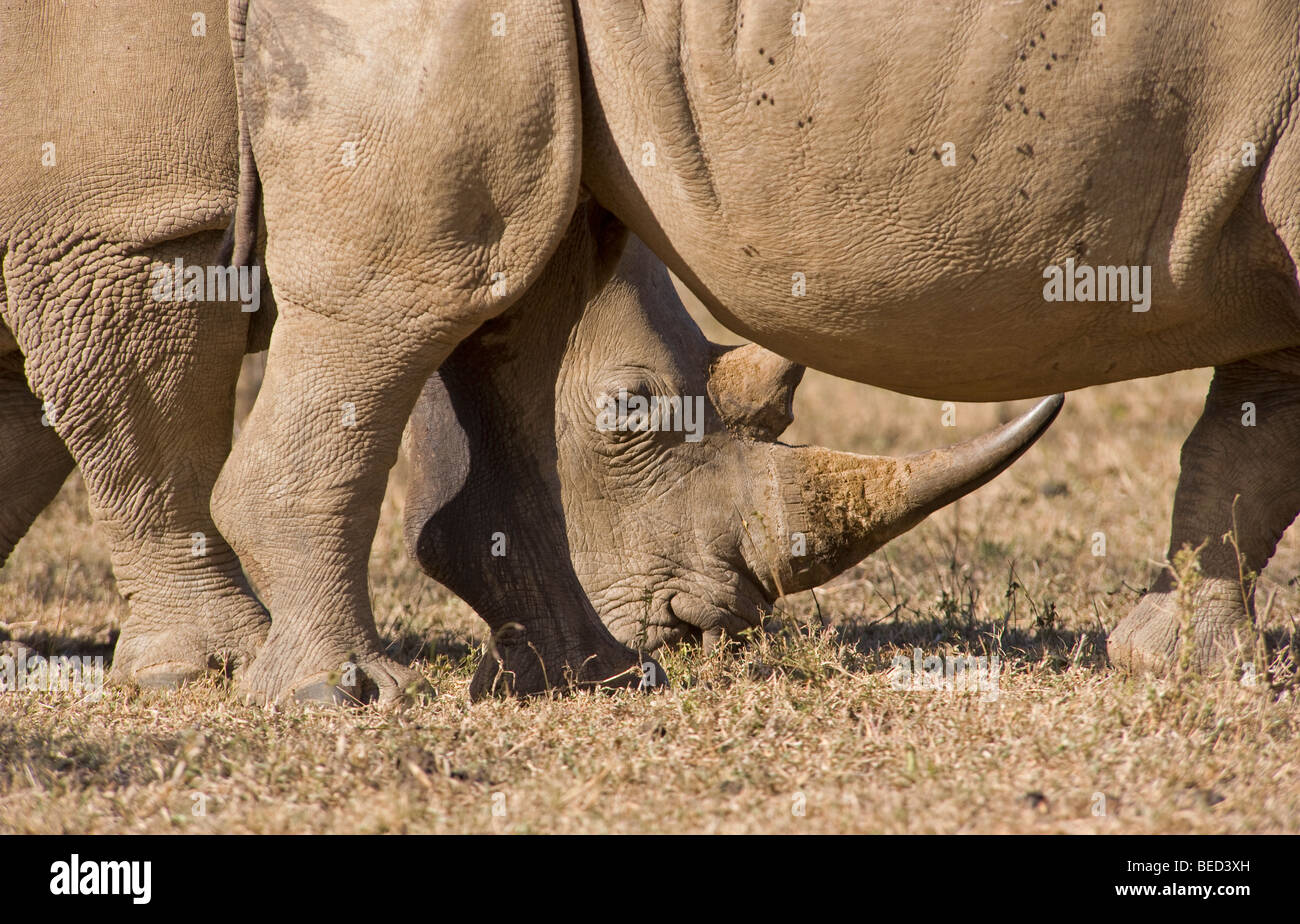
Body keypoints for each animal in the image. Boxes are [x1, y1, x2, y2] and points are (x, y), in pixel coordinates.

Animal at [213, 0, 1300, 701]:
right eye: (631, 411)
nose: (711, 626)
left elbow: (1255, 437)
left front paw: (1187, 668)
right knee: (408, 294)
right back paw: (343, 696)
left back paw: (589, 679)